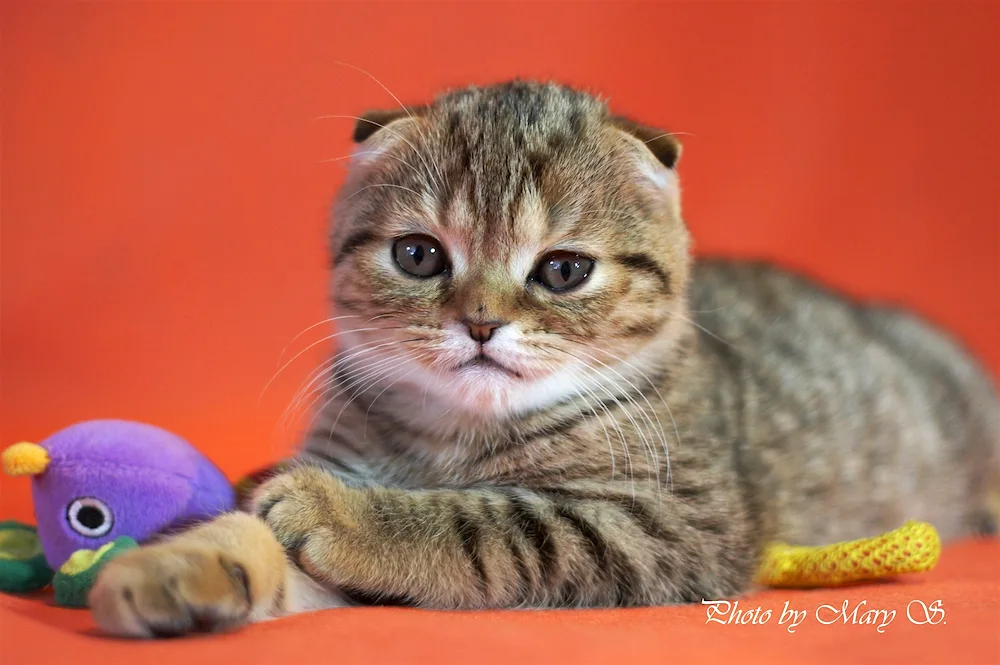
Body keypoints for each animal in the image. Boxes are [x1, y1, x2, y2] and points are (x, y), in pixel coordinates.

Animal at [90, 80, 996, 636]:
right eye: (419, 256)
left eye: (562, 270)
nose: (481, 322)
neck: (453, 437)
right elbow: (250, 535)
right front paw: (175, 565)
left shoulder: (667, 522)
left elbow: (488, 522)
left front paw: (341, 513)